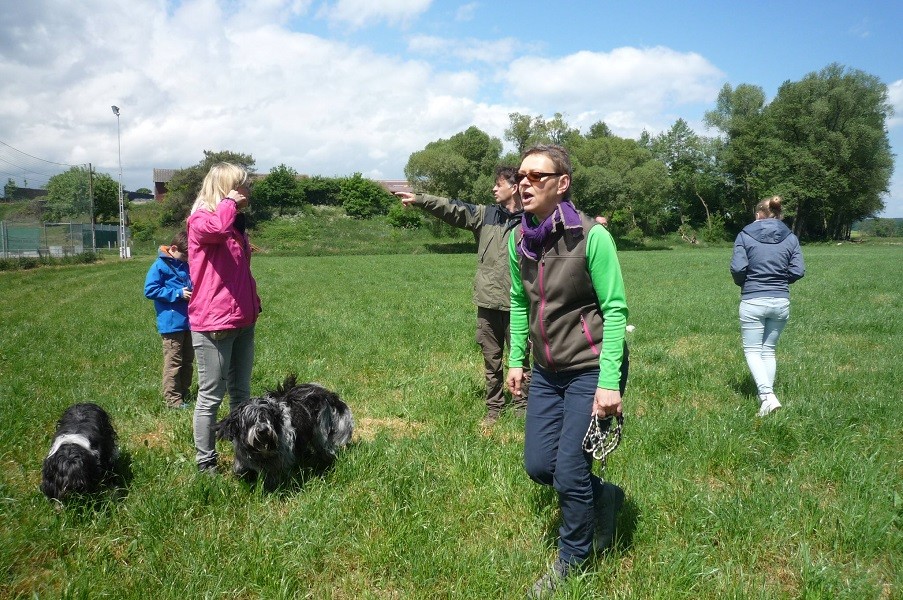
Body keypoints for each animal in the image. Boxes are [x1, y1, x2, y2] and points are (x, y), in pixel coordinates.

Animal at [215, 376, 354, 488]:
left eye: (267, 417)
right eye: (250, 420)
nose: (262, 430)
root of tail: (327, 393)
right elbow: (241, 468)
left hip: (321, 433)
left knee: (325, 448)